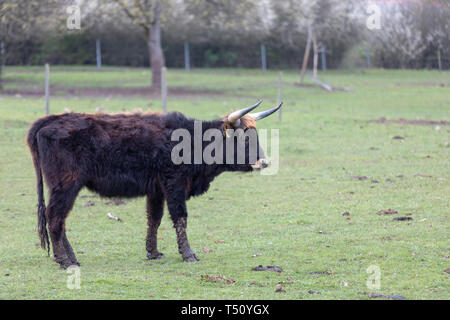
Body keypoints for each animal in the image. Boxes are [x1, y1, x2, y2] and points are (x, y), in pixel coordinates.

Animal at [26, 100, 282, 268]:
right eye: (242, 138)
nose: (264, 162)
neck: (193, 140)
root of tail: (50, 120)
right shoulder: (175, 184)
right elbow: (180, 218)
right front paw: (188, 254)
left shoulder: (156, 190)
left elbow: (154, 219)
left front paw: (153, 252)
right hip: (65, 185)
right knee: (55, 217)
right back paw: (64, 260)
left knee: (58, 219)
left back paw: (71, 257)